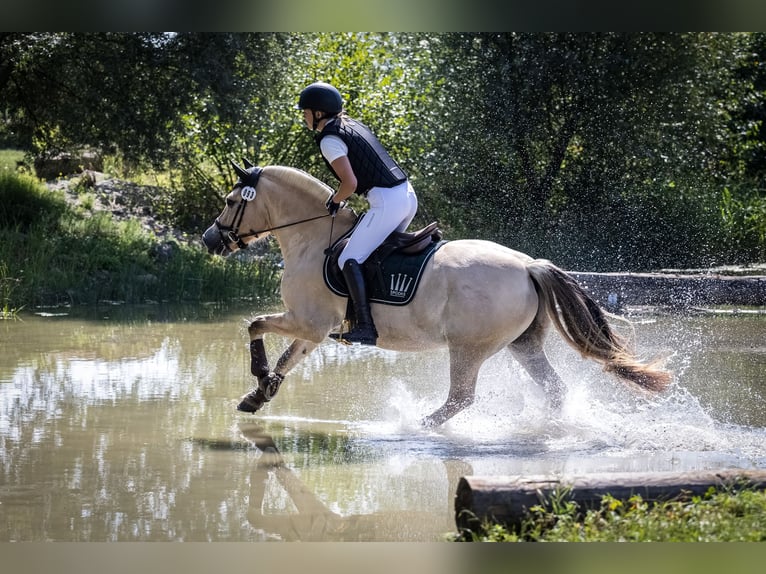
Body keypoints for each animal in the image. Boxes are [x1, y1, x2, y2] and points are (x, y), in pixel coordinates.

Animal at [202, 163, 671, 428]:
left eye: (230, 201)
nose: (210, 240)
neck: (313, 237)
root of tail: (527, 265)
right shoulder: (315, 328)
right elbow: (288, 358)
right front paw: (259, 394)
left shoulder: (308, 321)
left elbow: (254, 325)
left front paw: (259, 375)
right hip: (523, 345)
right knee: (553, 390)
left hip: (468, 348)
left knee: (461, 398)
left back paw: (417, 425)